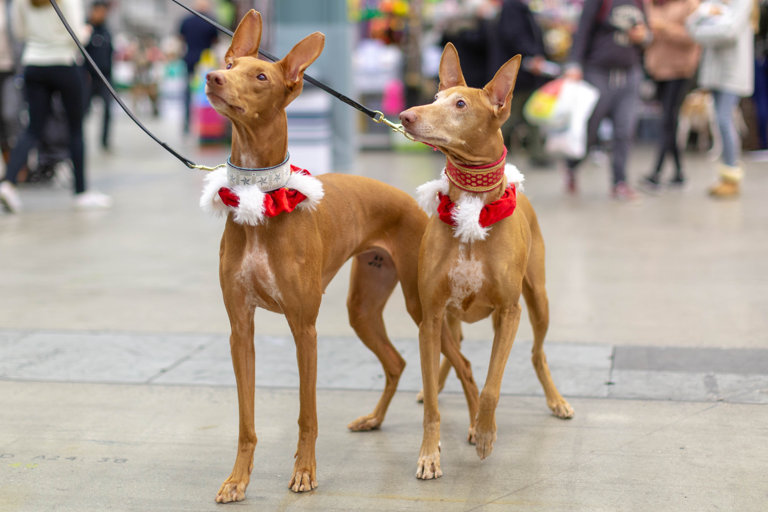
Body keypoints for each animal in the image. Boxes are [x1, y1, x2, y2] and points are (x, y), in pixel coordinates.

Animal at [400, 43, 572, 480]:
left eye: (460, 104)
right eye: (435, 97)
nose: (406, 115)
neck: (473, 207)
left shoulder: (510, 311)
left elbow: (494, 384)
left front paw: (485, 433)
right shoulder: (430, 316)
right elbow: (438, 392)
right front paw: (429, 453)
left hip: (537, 300)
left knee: (536, 353)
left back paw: (555, 401)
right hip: (447, 317)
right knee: (455, 359)